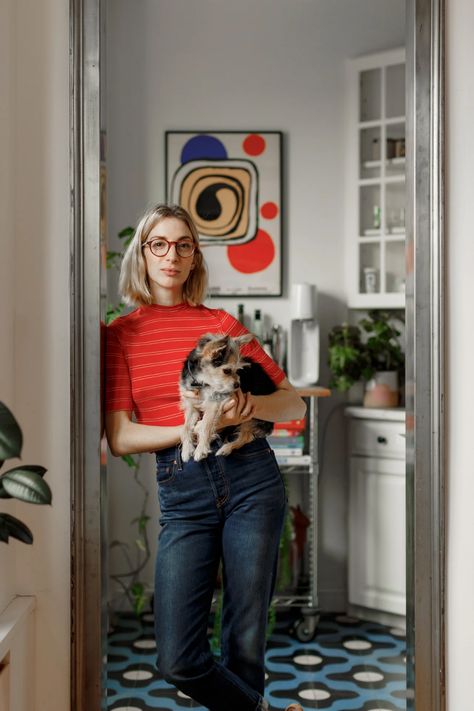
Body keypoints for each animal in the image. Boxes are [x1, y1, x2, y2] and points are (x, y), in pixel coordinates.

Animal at [180, 332, 276, 462]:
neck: (202, 383)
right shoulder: (191, 405)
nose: (237, 385)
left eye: (239, 370)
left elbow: (205, 424)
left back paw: (225, 449)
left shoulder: (215, 402)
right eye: (226, 370)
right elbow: (185, 428)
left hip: (250, 417)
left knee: (246, 437)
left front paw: (201, 449)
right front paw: (186, 450)